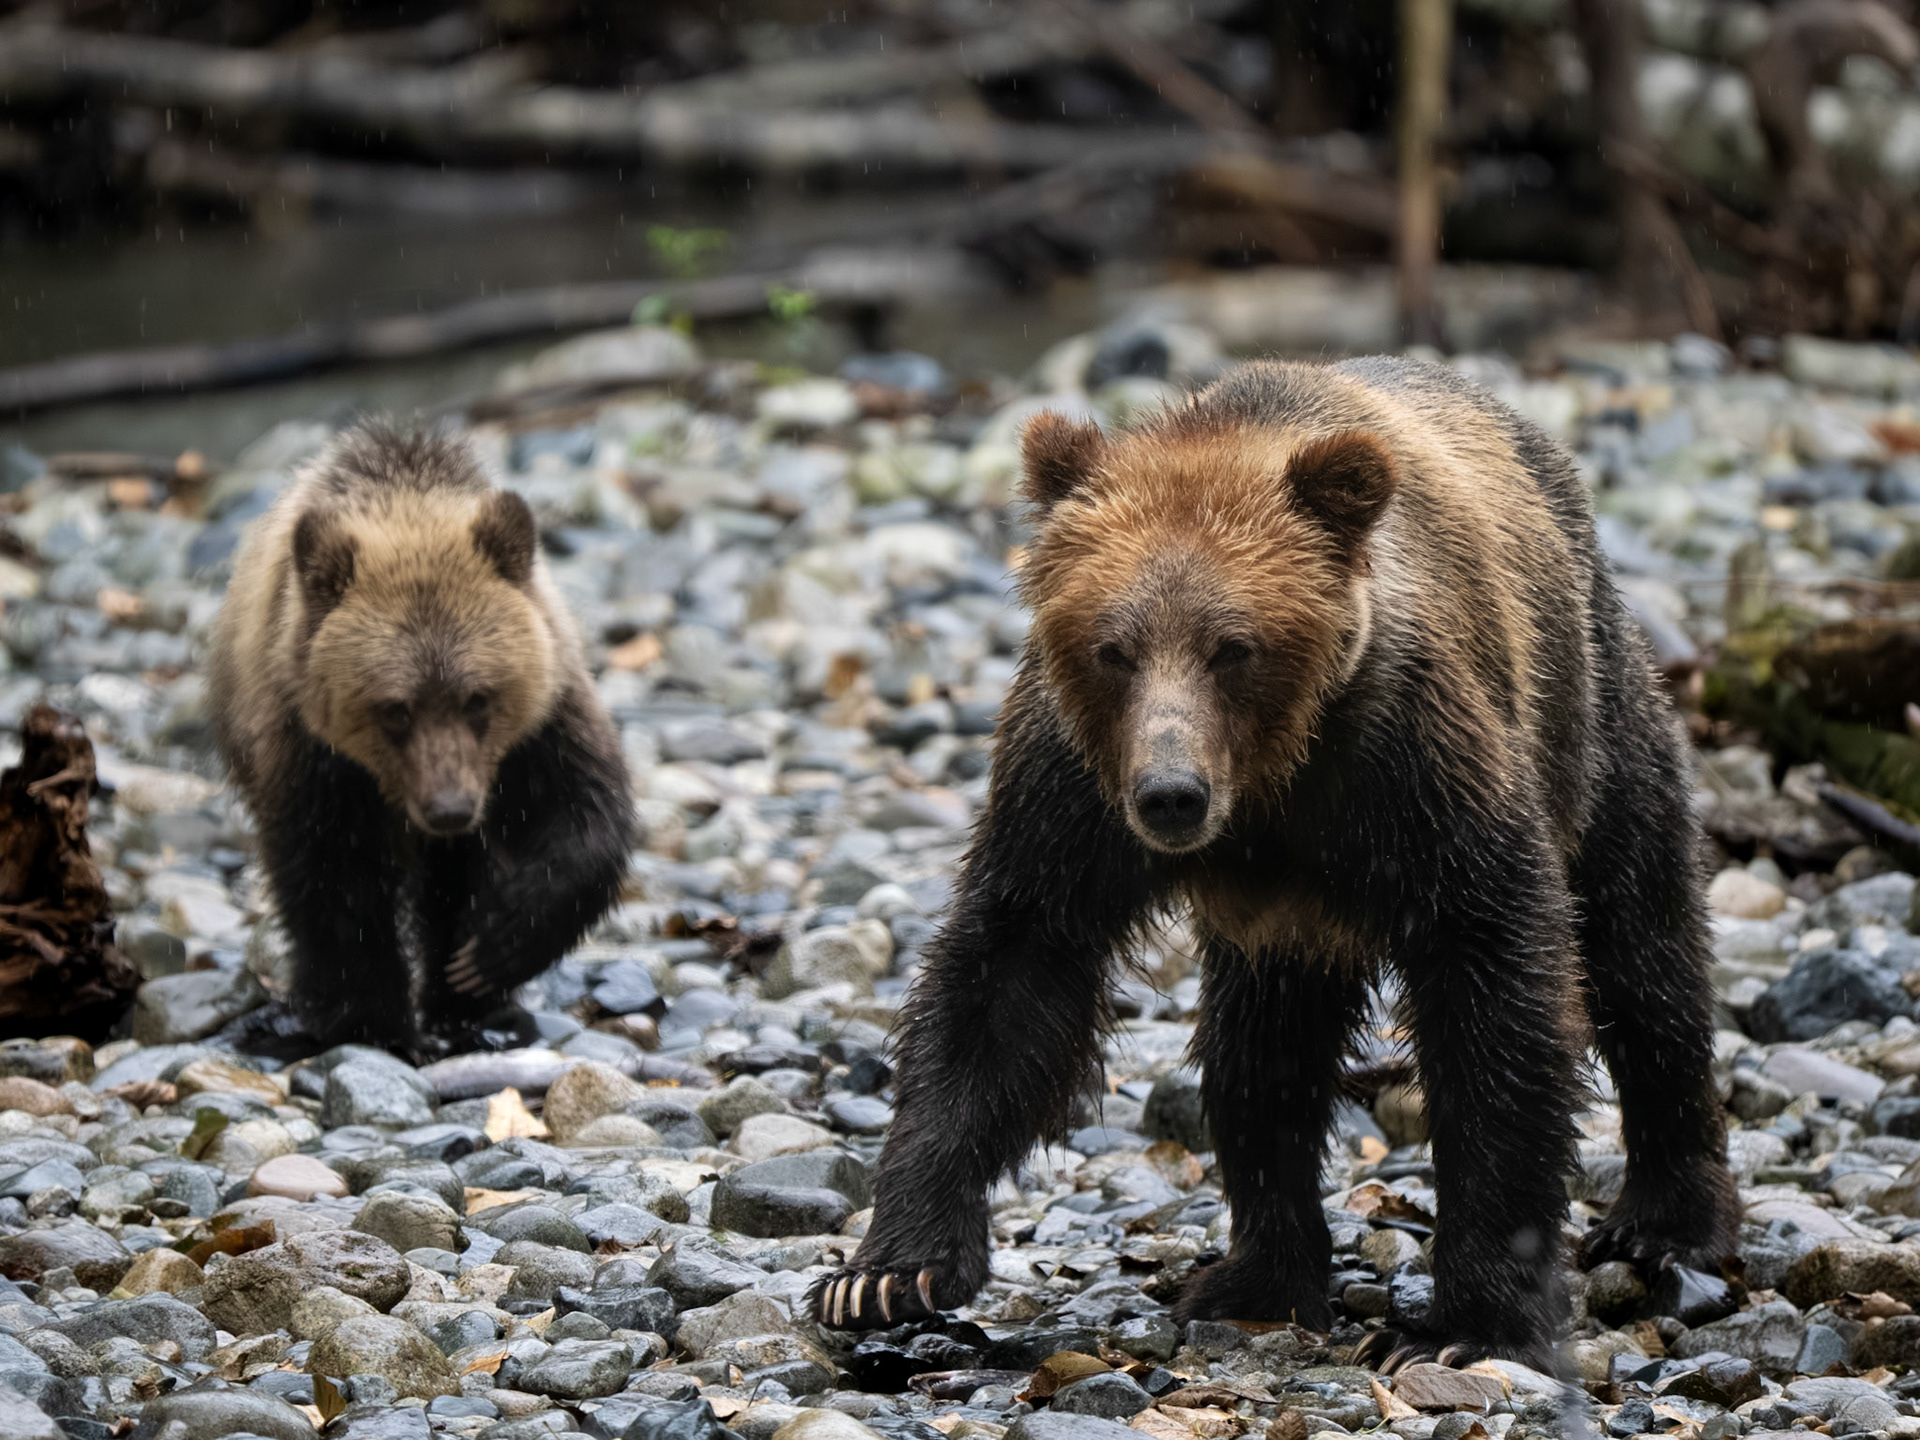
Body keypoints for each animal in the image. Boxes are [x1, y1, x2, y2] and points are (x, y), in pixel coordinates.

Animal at [209, 423, 633, 1055]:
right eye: (395, 709)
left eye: (478, 697)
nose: (449, 808)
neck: (407, 496)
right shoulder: (314, 755)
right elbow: (335, 883)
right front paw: (374, 1023)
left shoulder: (543, 725)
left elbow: (588, 817)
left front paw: (494, 947)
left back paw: (470, 1007)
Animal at [811, 357, 1739, 1367]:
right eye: (1114, 648)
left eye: (1233, 647)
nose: (1171, 795)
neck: (1270, 783)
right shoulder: (1070, 792)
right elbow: (1010, 973)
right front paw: (883, 1273)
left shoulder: (1412, 762)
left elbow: (1495, 994)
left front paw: (1469, 1327)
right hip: (1282, 923)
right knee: (1260, 1054)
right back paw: (1258, 1276)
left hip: (1595, 715)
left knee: (1643, 953)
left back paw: (1666, 1221)